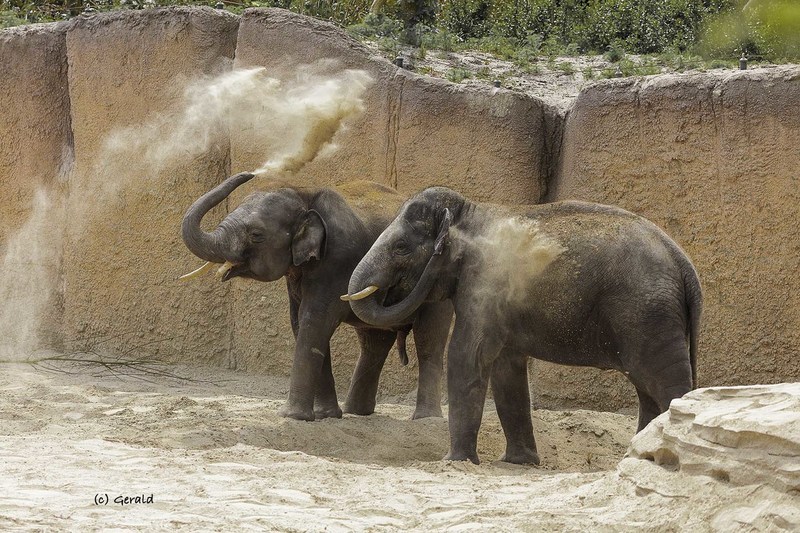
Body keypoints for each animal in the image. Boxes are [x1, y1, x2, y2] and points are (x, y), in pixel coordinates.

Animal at [181, 172, 452, 421]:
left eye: (256, 234)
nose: (250, 173)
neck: (303, 191)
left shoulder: (337, 260)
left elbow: (315, 320)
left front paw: (292, 417)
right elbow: (300, 322)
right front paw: (325, 416)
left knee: (428, 340)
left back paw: (425, 418)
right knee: (373, 342)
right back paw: (357, 412)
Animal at [343, 186, 702, 465]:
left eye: (401, 248)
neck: (469, 211)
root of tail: (685, 265)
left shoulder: (485, 284)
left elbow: (466, 356)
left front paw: (455, 461)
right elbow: (507, 369)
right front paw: (518, 462)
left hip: (649, 315)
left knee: (664, 383)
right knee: (646, 387)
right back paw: (635, 457)